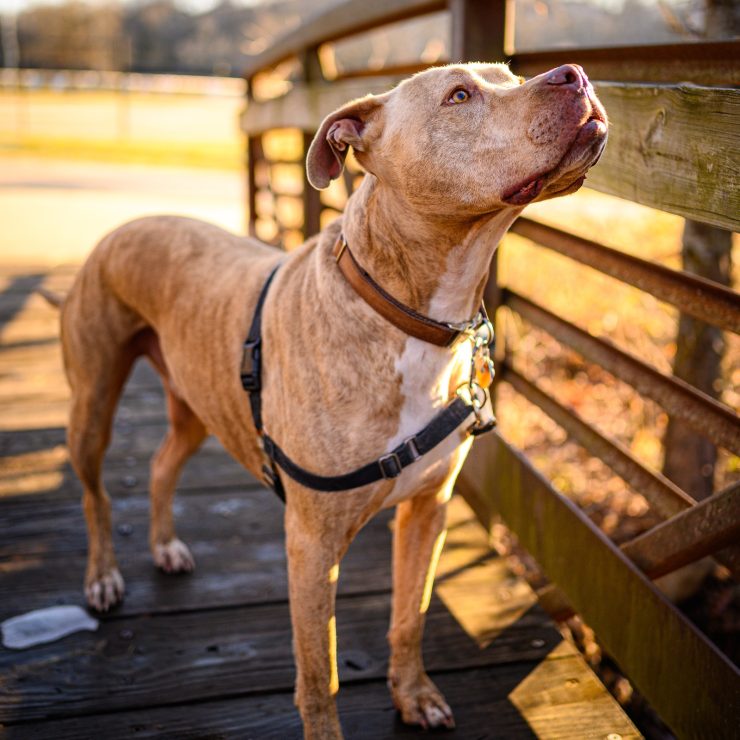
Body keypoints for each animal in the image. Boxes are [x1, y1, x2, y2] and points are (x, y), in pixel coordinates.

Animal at [53, 62, 608, 736]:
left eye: (509, 75)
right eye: (459, 95)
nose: (574, 74)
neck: (408, 314)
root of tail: (130, 223)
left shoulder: (427, 511)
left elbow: (411, 615)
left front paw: (414, 694)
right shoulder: (312, 545)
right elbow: (321, 670)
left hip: (197, 401)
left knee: (162, 463)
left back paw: (164, 546)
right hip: (92, 404)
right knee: (95, 494)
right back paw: (103, 577)